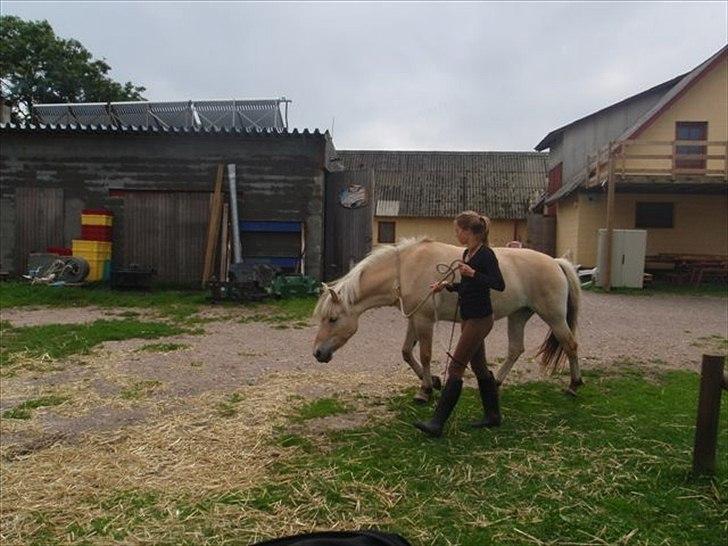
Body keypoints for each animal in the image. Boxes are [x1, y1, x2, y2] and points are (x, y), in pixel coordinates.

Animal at [310, 236, 584, 402]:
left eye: (332, 319)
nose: (318, 353)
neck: (405, 270)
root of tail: (556, 262)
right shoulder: (414, 318)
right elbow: (406, 352)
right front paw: (434, 381)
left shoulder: (424, 320)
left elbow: (424, 354)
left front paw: (425, 391)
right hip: (518, 316)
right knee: (515, 349)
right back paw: (496, 382)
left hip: (554, 317)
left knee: (570, 345)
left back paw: (574, 385)